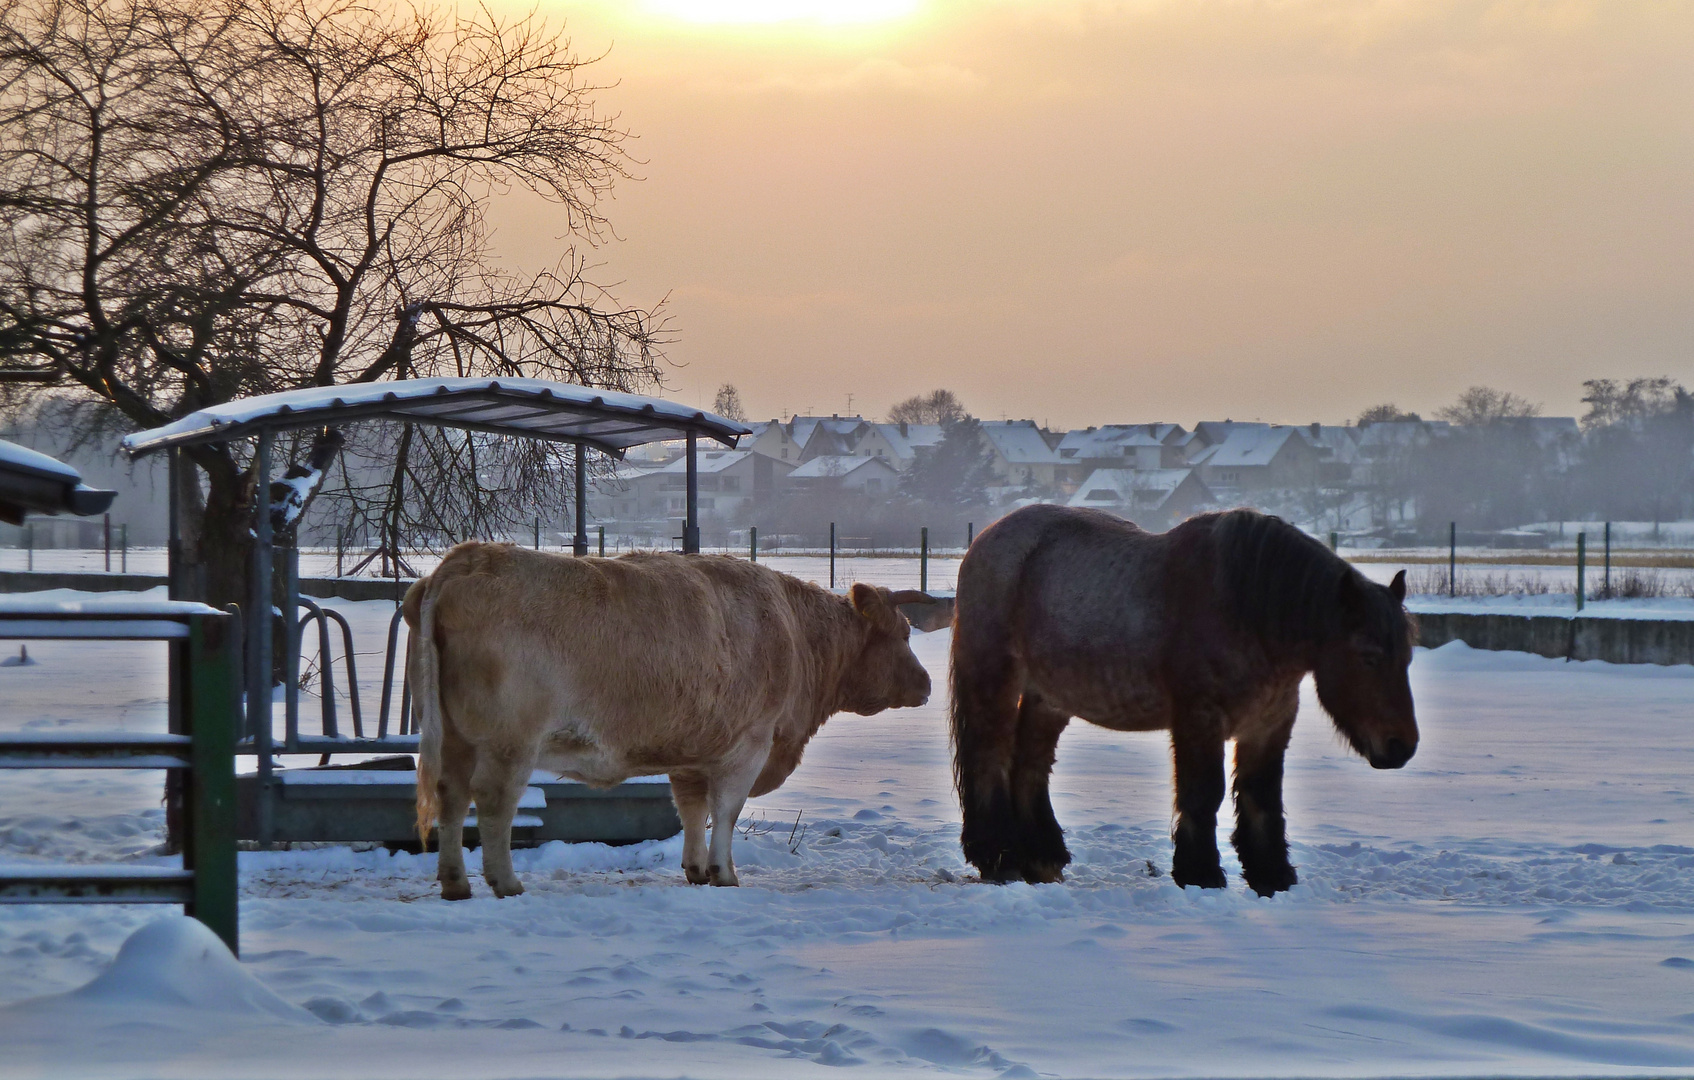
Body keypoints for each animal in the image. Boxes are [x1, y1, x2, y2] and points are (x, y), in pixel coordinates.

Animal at [406, 545, 941, 900]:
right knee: (494, 803)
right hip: (509, 744)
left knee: (451, 797)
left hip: (453, 738)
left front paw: (696, 868)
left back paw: (455, 883)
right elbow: (726, 811)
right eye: (901, 632)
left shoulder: (693, 755)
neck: (796, 633)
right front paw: (725, 873)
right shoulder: (749, 744)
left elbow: (691, 812)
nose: (928, 683)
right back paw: (506, 882)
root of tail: (467, 557)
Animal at [955, 504, 1416, 893]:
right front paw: (1201, 874)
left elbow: (1262, 798)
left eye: (1407, 656)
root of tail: (986, 539)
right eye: (1369, 657)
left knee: (1030, 768)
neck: (1246, 609)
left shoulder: (1268, 725)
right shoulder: (1200, 720)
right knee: (989, 760)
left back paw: (1042, 858)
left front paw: (1271, 876)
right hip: (994, 680)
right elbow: (1203, 793)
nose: (1402, 747)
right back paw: (999, 858)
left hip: (1047, 698)